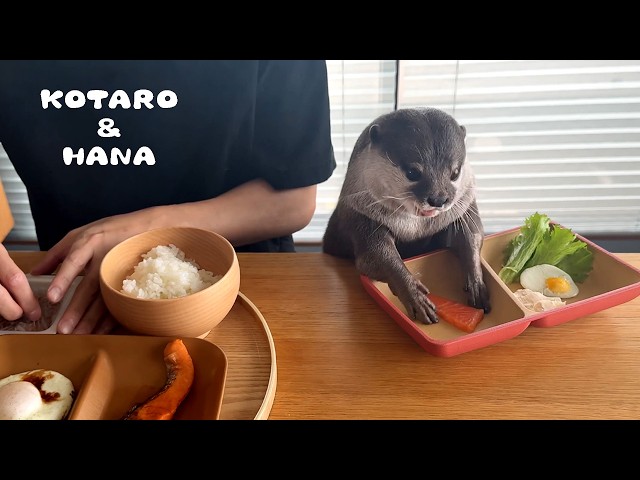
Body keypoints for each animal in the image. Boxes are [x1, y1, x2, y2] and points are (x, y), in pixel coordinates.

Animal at [322, 107, 491, 324]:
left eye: (454, 172)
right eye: (412, 172)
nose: (438, 199)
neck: (414, 229)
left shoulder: (465, 207)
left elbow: (473, 235)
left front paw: (477, 284)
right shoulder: (362, 217)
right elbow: (376, 257)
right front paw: (415, 295)